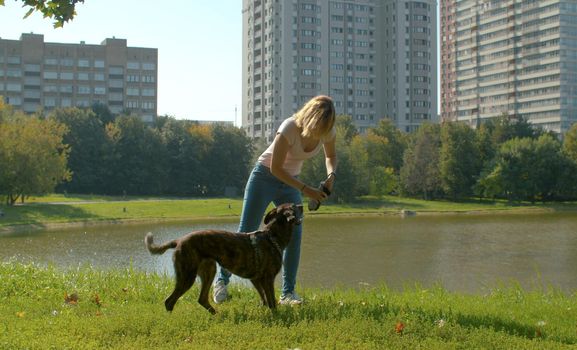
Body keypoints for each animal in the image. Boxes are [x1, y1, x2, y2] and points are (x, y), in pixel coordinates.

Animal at [144, 202, 302, 314]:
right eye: (294, 206)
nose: (301, 205)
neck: (272, 236)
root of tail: (178, 241)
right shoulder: (267, 279)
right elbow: (271, 301)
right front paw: (276, 316)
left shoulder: (256, 279)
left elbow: (263, 298)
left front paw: (264, 310)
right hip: (187, 277)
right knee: (169, 301)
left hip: (208, 271)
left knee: (201, 299)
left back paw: (216, 314)